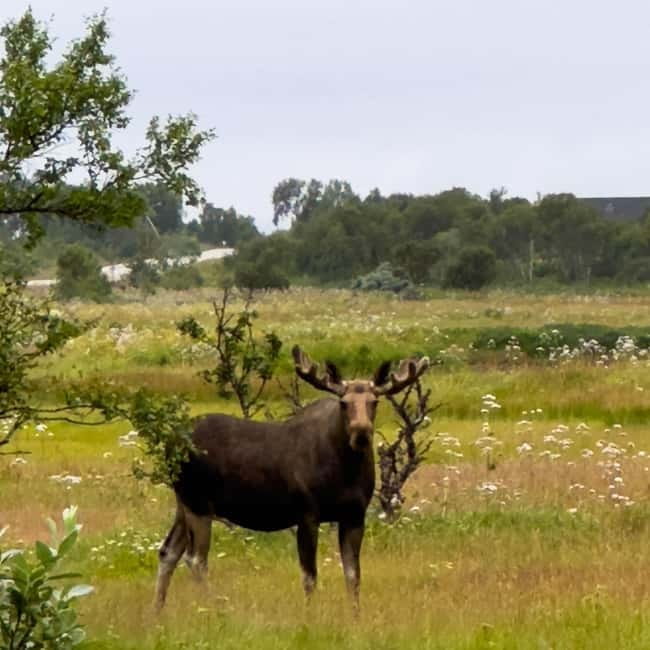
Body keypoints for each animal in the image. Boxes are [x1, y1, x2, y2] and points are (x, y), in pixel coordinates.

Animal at [155, 345, 429, 611]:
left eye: (374, 401)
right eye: (343, 402)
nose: (361, 433)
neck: (346, 472)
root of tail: (170, 443)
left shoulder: (354, 515)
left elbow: (353, 576)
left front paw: (355, 616)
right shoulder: (307, 513)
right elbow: (310, 576)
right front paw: (310, 615)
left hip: (184, 501)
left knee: (168, 551)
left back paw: (157, 612)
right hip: (198, 501)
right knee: (195, 559)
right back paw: (215, 608)